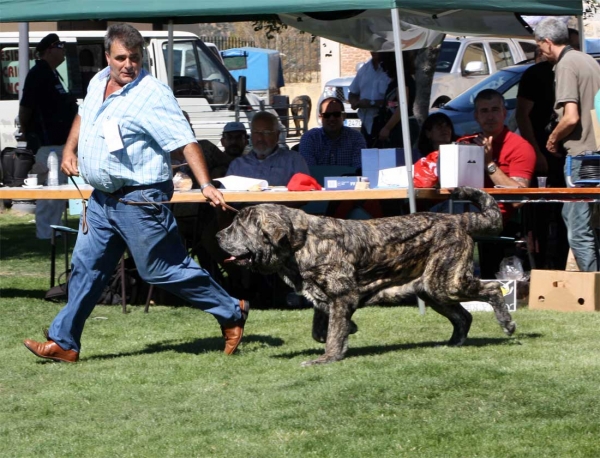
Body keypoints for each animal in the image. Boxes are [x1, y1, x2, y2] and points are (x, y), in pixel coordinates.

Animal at [218, 186, 516, 364]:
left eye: (239, 226)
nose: (218, 235)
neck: (301, 243)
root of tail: (458, 219)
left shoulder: (341, 295)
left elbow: (333, 331)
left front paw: (328, 357)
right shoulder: (324, 296)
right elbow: (321, 328)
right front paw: (346, 331)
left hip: (446, 284)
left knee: (492, 289)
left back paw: (507, 323)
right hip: (431, 289)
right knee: (463, 316)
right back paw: (453, 343)